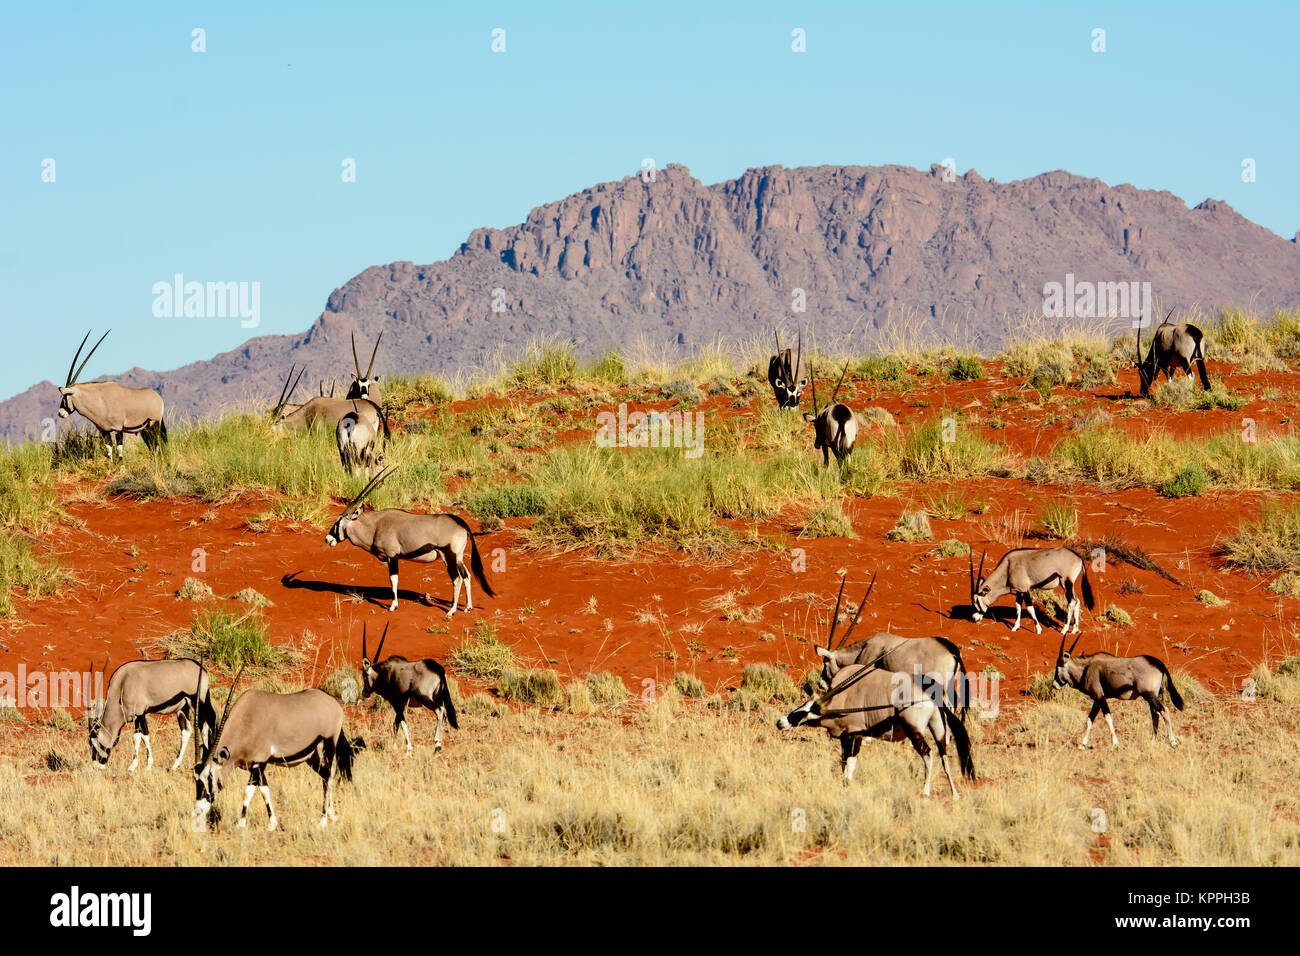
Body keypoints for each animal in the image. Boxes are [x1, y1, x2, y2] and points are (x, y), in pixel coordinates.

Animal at [325, 468, 496, 616]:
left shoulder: (392, 556)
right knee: (466, 576)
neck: (375, 526)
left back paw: (451, 611)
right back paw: (467, 607)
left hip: (449, 556)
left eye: (338, 522)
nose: (328, 539)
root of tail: (462, 524)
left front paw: (393, 606)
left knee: (457, 578)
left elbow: (393, 580)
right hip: (458, 557)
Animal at [358, 621, 460, 754]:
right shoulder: (400, 704)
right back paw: (438, 746)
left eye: (364, 675)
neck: (383, 673)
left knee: (440, 711)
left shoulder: (396, 703)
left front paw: (407, 749)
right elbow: (396, 723)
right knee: (443, 715)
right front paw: (395, 746)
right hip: (437, 697)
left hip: (424, 698)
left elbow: (402, 723)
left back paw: (437, 743)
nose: (364, 692)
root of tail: (438, 670)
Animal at [1050, 639, 1185, 749]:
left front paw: (1115, 744)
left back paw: (1173, 742)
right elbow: (1089, 720)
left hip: (1149, 695)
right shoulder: (1097, 699)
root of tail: (1158, 663)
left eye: (1057, 667)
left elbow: (1108, 717)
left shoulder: (1100, 697)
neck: (1086, 669)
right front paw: (1082, 744)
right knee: (1155, 715)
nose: (1054, 685)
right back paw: (1152, 742)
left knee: (1164, 710)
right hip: (1152, 697)